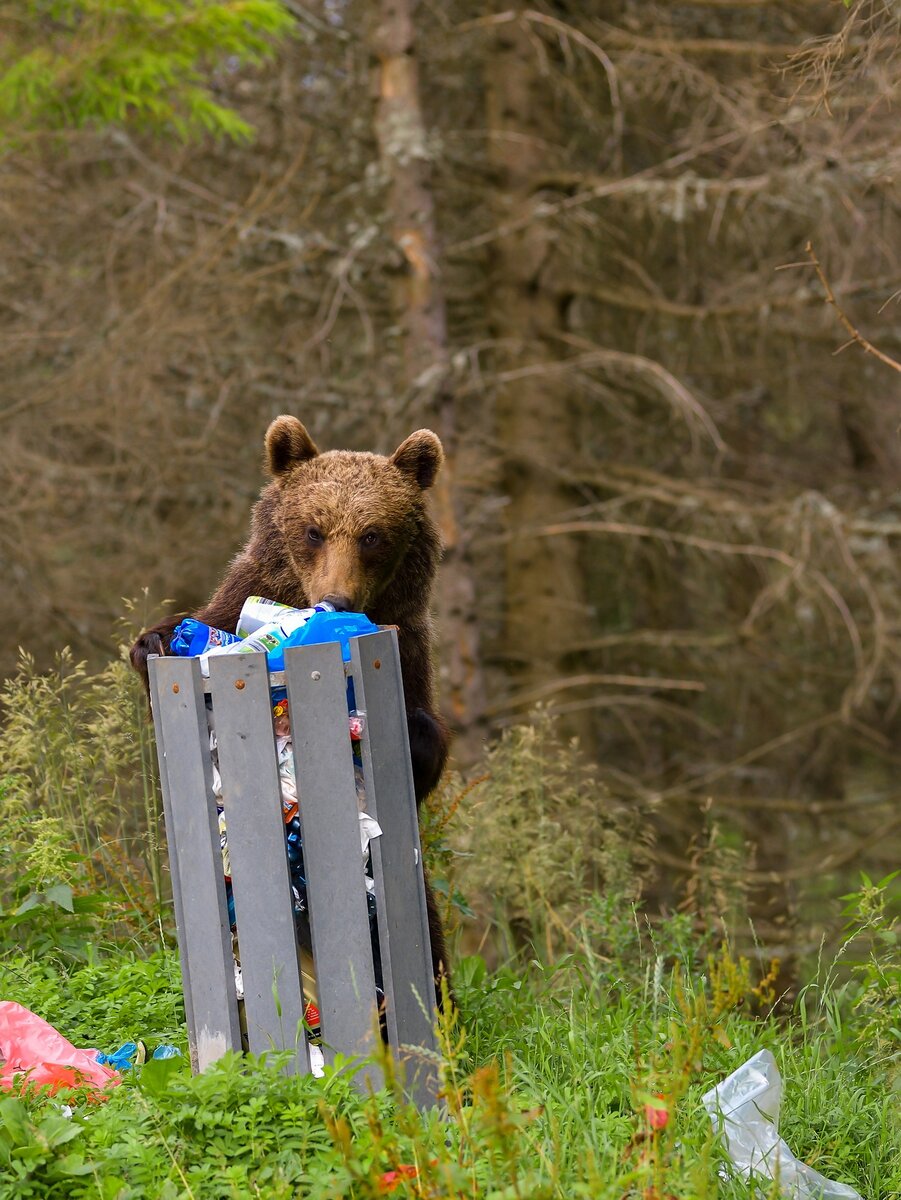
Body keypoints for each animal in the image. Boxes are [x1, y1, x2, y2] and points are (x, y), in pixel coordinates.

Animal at [130, 417, 453, 998]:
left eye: (372, 534)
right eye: (313, 530)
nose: (338, 599)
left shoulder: (412, 654)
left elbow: (426, 745)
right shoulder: (234, 602)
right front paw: (154, 643)